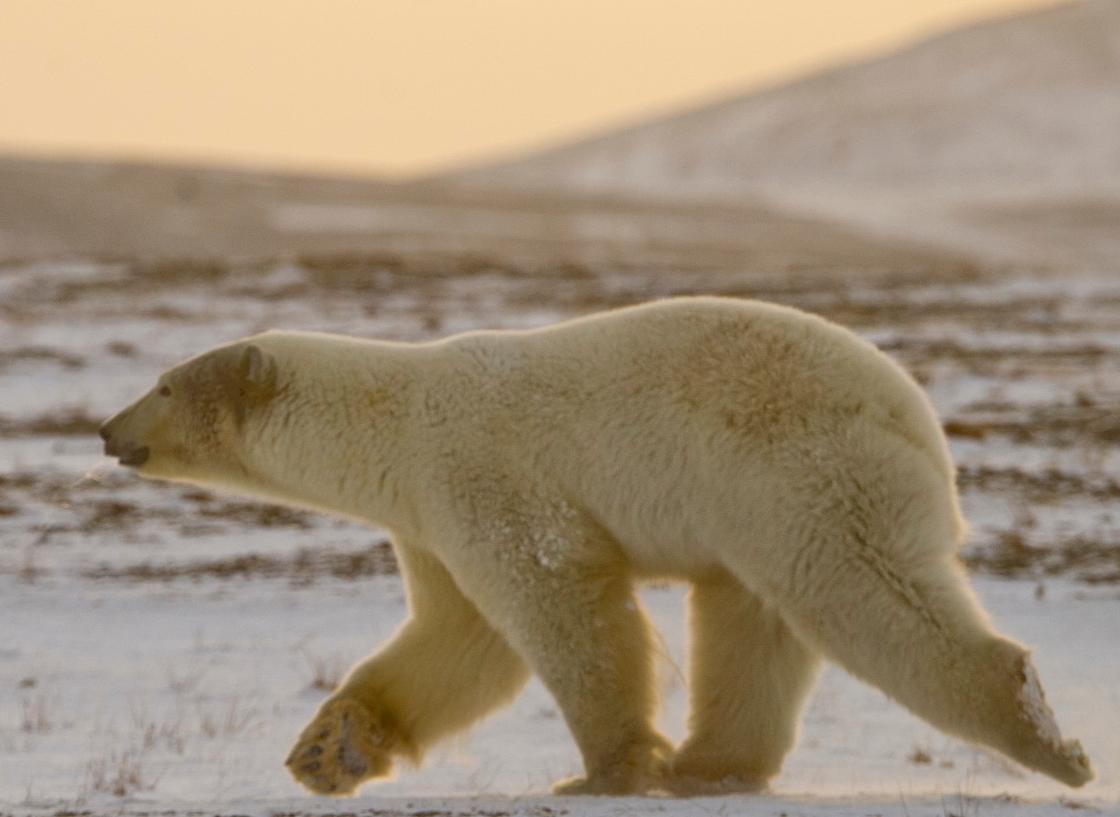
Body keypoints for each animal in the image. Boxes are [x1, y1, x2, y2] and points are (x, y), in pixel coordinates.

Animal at [100, 295, 1088, 793]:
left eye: (163, 383)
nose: (107, 430)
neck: (392, 416)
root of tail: (915, 413)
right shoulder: (425, 514)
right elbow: (460, 639)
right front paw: (327, 749)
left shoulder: (478, 471)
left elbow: (559, 601)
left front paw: (605, 772)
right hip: (754, 503)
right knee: (753, 618)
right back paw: (712, 767)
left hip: (802, 468)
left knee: (868, 595)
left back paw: (1044, 735)